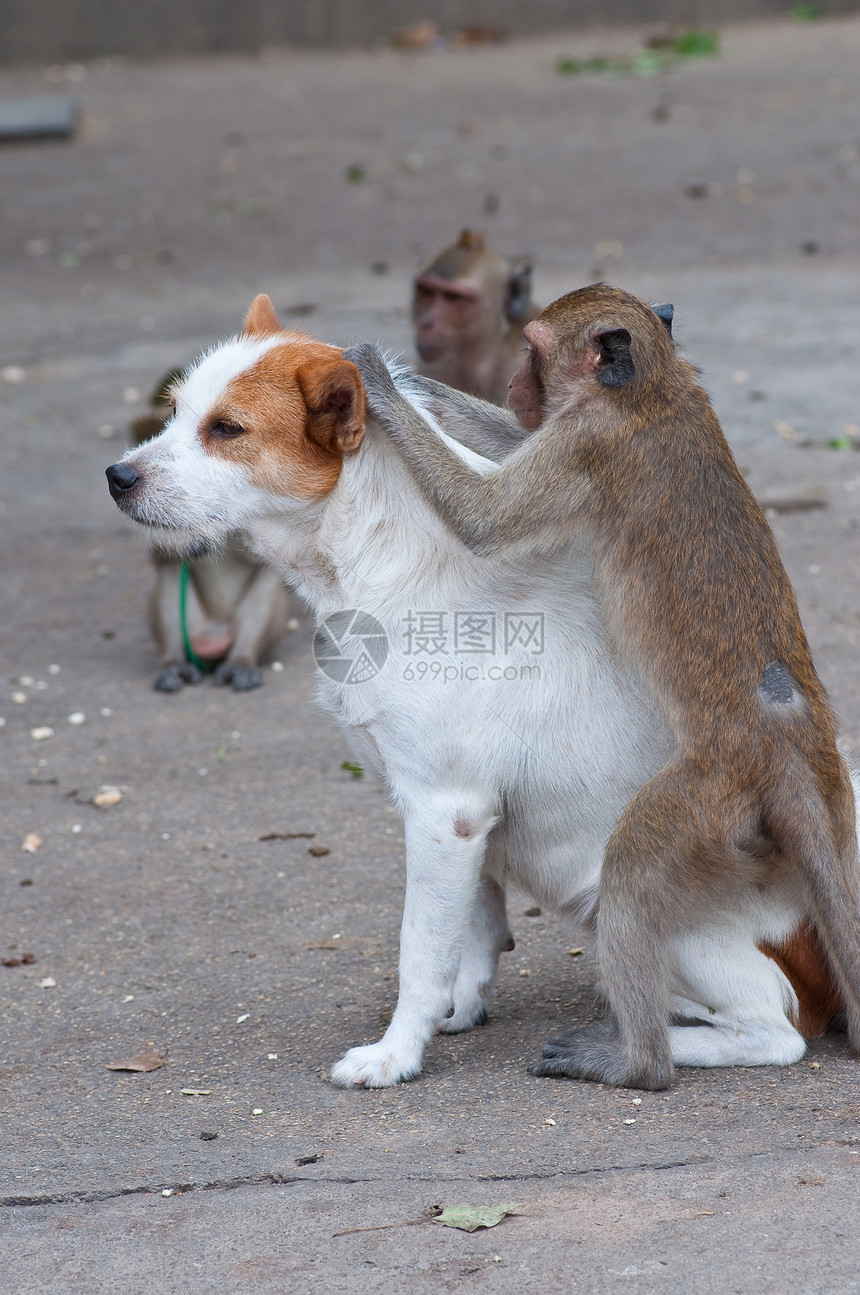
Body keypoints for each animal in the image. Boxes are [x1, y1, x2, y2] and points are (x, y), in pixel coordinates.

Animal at [127, 367, 288, 688]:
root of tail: (215, 640)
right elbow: (163, 551)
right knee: (171, 577)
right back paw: (172, 663)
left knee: (266, 583)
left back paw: (242, 662)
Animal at [347, 286, 860, 1092]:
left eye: (530, 350)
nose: (516, 384)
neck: (653, 387)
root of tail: (786, 737)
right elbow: (507, 446)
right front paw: (421, 384)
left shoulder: (585, 441)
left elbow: (482, 517)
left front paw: (382, 382)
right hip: (825, 803)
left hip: (710, 795)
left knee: (628, 873)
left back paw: (638, 1061)